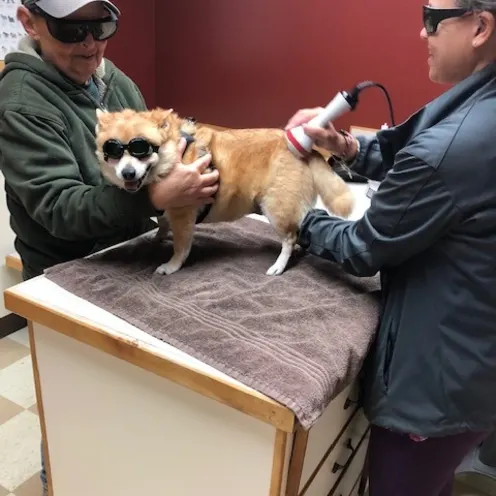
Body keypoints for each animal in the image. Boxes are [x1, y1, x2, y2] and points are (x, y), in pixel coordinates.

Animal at [95, 108, 354, 278]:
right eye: (113, 150)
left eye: (142, 149)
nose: (128, 173)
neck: (173, 154)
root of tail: (307, 150)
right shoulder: (165, 208)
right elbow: (162, 222)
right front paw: (158, 236)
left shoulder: (182, 215)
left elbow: (181, 247)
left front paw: (171, 265)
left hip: (275, 207)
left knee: (289, 238)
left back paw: (279, 265)